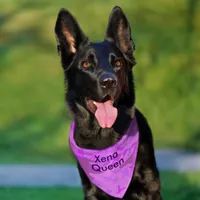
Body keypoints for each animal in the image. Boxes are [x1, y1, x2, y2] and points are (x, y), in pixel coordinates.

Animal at [54, 5, 162, 199]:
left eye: (118, 63)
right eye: (86, 65)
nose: (109, 82)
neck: (104, 135)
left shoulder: (150, 186)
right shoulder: (91, 191)